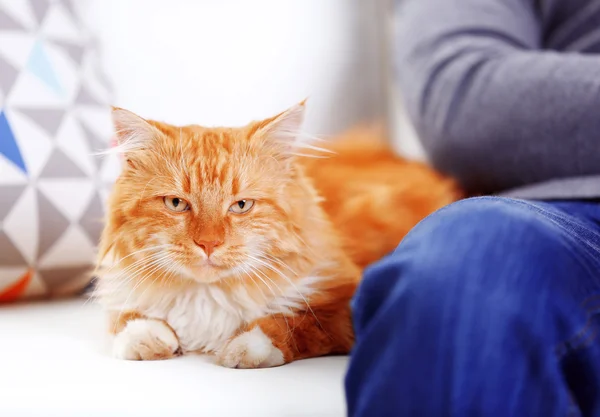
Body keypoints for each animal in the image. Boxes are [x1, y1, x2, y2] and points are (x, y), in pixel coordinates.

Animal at [95, 102, 460, 366]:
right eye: (176, 204)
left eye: (241, 205)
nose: (209, 243)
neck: (209, 297)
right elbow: (127, 318)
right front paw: (146, 337)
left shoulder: (344, 306)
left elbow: (288, 323)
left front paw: (242, 348)